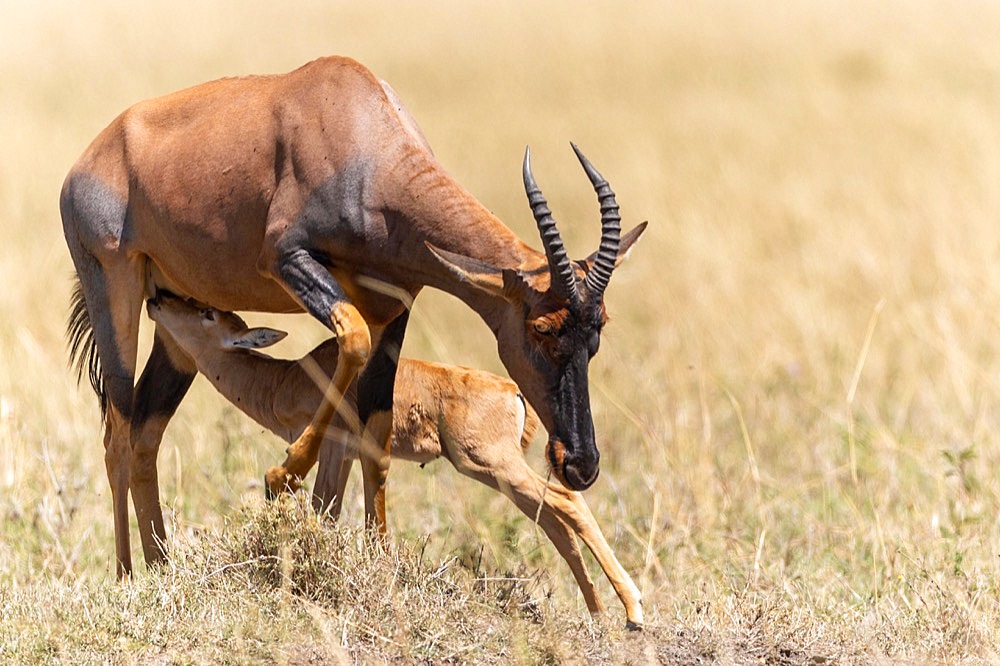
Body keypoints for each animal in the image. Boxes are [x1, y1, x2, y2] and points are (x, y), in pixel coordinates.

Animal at [62, 55, 644, 576]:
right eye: (541, 330)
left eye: (596, 335)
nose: (580, 463)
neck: (362, 137)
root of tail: (85, 163)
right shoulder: (288, 260)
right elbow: (352, 341)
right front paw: (282, 475)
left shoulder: (395, 309)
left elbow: (376, 436)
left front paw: (379, 558)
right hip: (114, 290)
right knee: (116, 433)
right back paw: (127, 578)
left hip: (173, 321)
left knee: (145, 434)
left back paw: (162, 568)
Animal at [145, 294, 644, 628]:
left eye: (208, 313)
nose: (155, 299)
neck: (293, 375)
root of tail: (513, 392)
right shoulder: (347, 455)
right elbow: (329, 513)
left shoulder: (333, 447)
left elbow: (321, 508)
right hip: (500, 475)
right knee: (555, 521)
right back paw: (600, 615)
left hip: (489, 465)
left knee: (568, 503)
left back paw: (633, 611)